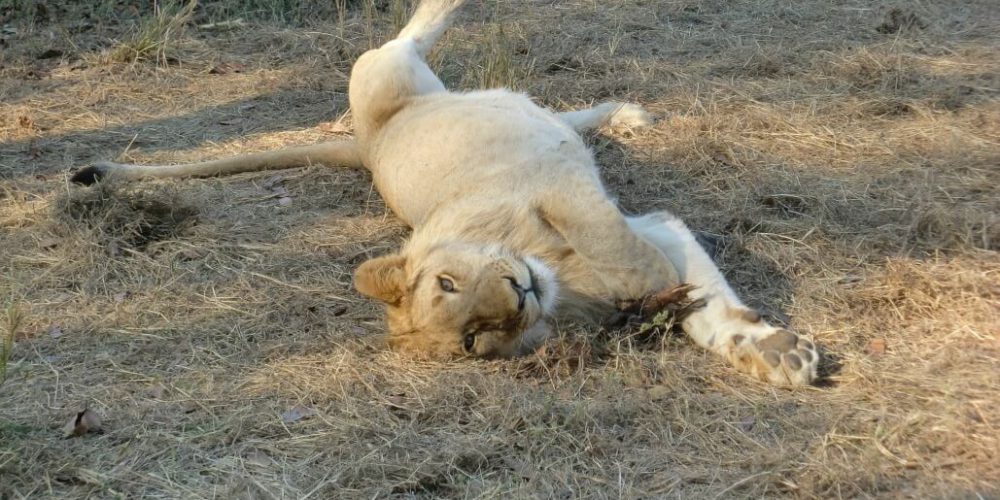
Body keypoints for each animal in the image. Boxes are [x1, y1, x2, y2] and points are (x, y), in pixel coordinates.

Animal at [72, 0, 820, 386]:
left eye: (447, 282)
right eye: (472, 339)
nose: (517, 295)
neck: (557, 275)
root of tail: (364, 144)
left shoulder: (567, 189)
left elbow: (636, 255)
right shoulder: (648, 221)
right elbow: (699, 303)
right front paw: (772, 352)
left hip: (389, 74)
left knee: (407, 34)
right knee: (560, 112)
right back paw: (625, 115)